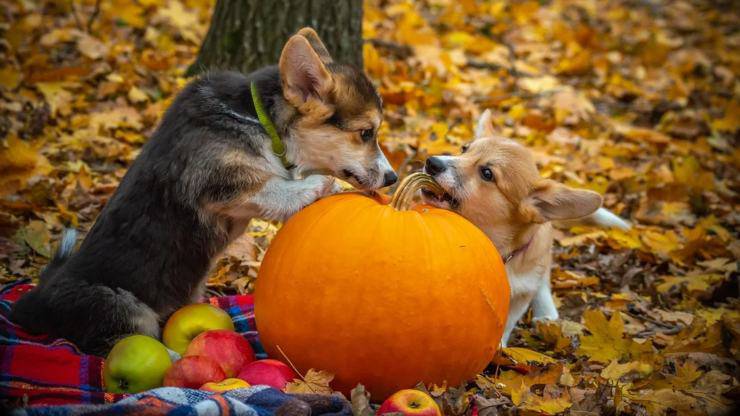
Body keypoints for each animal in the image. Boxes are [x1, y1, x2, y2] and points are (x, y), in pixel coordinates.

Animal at [424, 109, 628, 344]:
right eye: (464, 149)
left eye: (487, 173)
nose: (431, 162)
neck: (497, 246)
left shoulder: (520, 296)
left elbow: (508, 322)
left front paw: (499, 348)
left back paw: (547, 313)